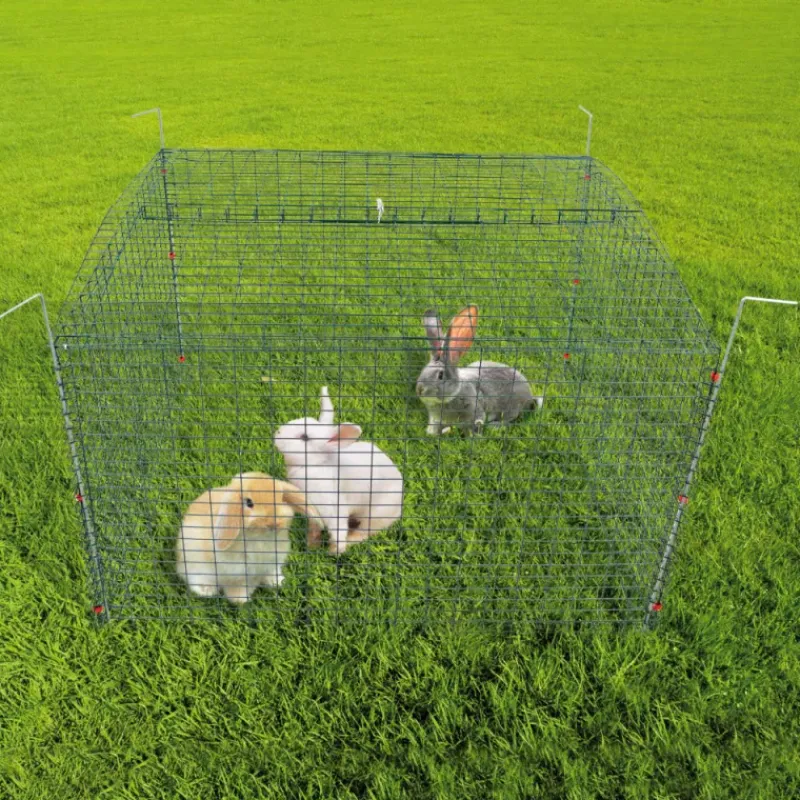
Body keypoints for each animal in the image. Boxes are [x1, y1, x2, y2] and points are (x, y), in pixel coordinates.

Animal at [175, 471, 322, 604]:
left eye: (280, 498)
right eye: (249, 502)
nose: (274, 523)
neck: (261, 538)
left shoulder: (272, 563)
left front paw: (278, 582)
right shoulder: (235, 574)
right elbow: (236, 589)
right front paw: (242, 601)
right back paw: (206, 590)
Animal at [273, 386, 404, 556]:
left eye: (305, 437)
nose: (277, 433)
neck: (316, 464)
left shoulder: (333, 506)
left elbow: (338, 530)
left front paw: (334, 551)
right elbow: (315, 527)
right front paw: (312, 544)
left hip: (375, 515)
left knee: (363, 533)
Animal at [416, 304, 543, 436]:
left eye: (440, 375)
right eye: (422, 372)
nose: (420, 390)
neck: (455, 393)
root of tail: (529, 396)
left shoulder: (475, 411)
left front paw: (474, 436)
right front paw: (432, 433)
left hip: (511, 407)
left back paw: (495, 426)